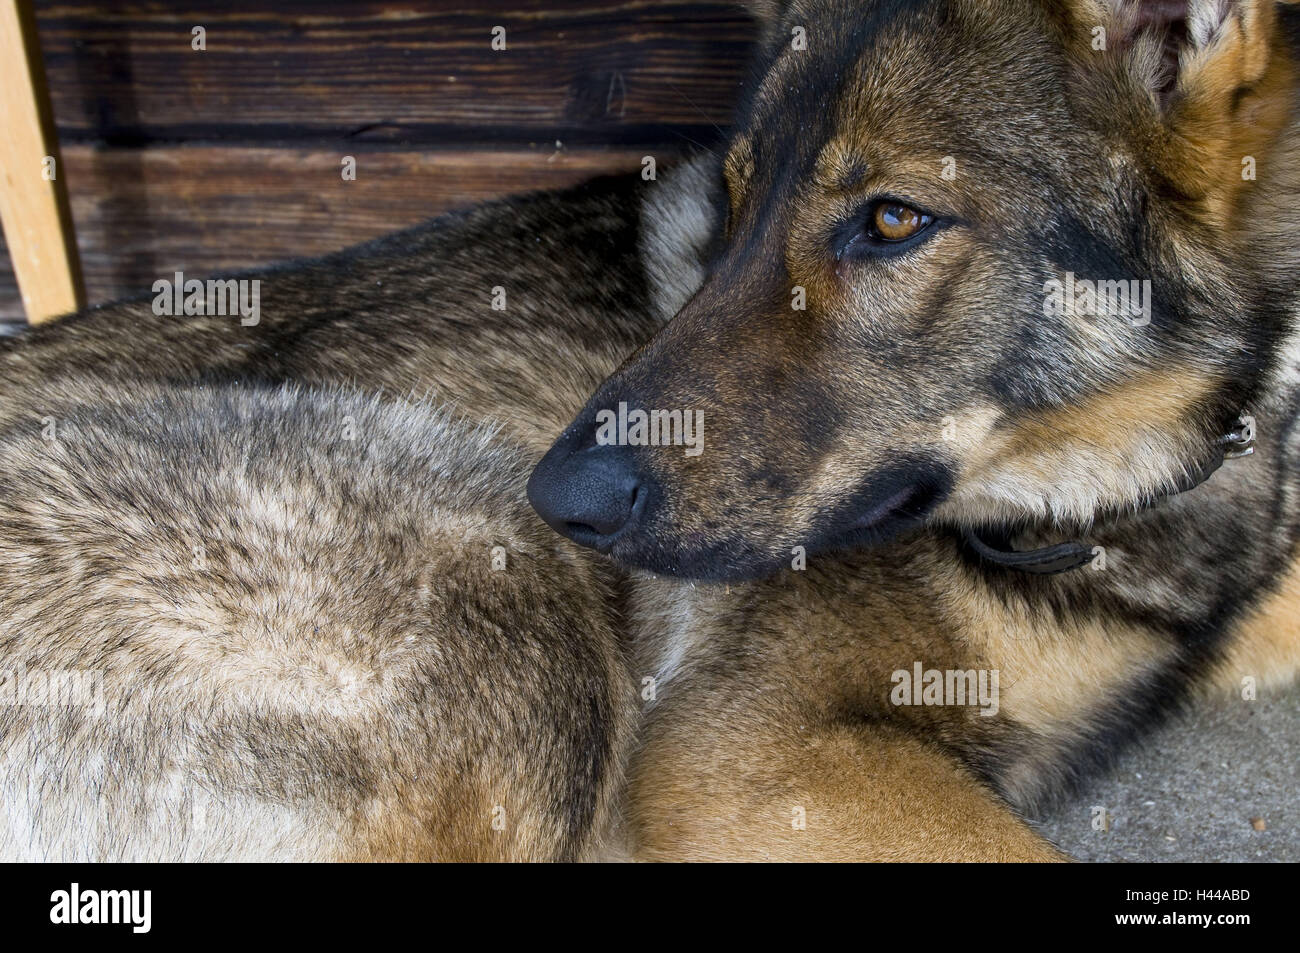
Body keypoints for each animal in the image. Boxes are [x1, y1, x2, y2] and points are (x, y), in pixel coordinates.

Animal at [2, 0, 1300, 863]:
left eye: (891, 220)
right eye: (734, 208)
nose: (563, 494)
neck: (1104, 498)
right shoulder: (749, 750)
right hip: (508, 592)